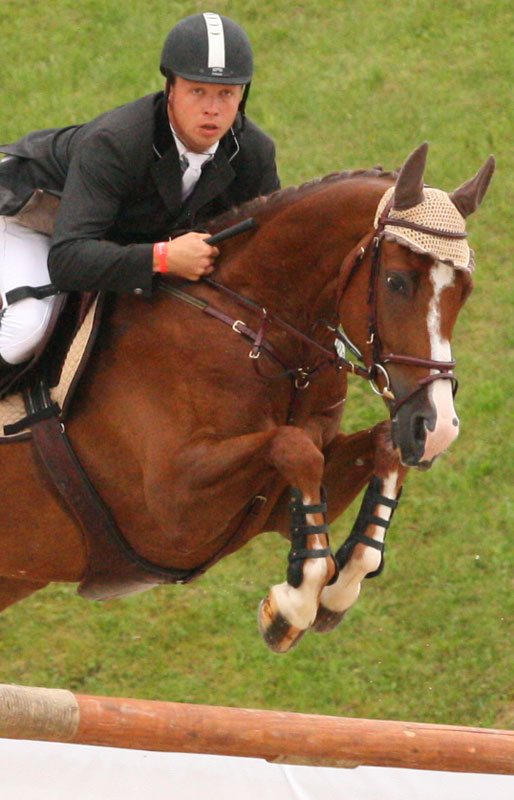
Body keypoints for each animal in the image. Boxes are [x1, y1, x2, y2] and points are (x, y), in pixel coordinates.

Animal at [0, 143, 494, 653]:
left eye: (465, 290)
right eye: (397, 282)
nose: (439, 430)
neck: (255, 328)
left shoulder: (274, 503)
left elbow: (378, 447)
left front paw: (340, 588)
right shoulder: (169, 509)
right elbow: (293, 446)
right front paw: (294, 603)